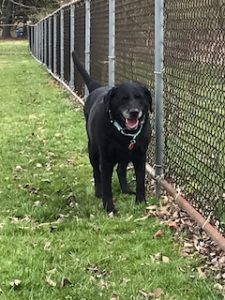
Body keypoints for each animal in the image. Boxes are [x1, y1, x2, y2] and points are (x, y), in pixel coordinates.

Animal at [72, 51, 153, 212]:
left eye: (140, 98)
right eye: (124, 99)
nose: (134, 112)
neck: (124, 134)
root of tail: (96, 87)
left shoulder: (140, 156)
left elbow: (140, 181)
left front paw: (141, 202)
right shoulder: (106, 160)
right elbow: (106, 185)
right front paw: (109, 208)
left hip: (125, 155)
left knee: (120, 170)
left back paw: (126, 190)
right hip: (92, 150)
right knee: (96, 171)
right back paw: (98, 192)